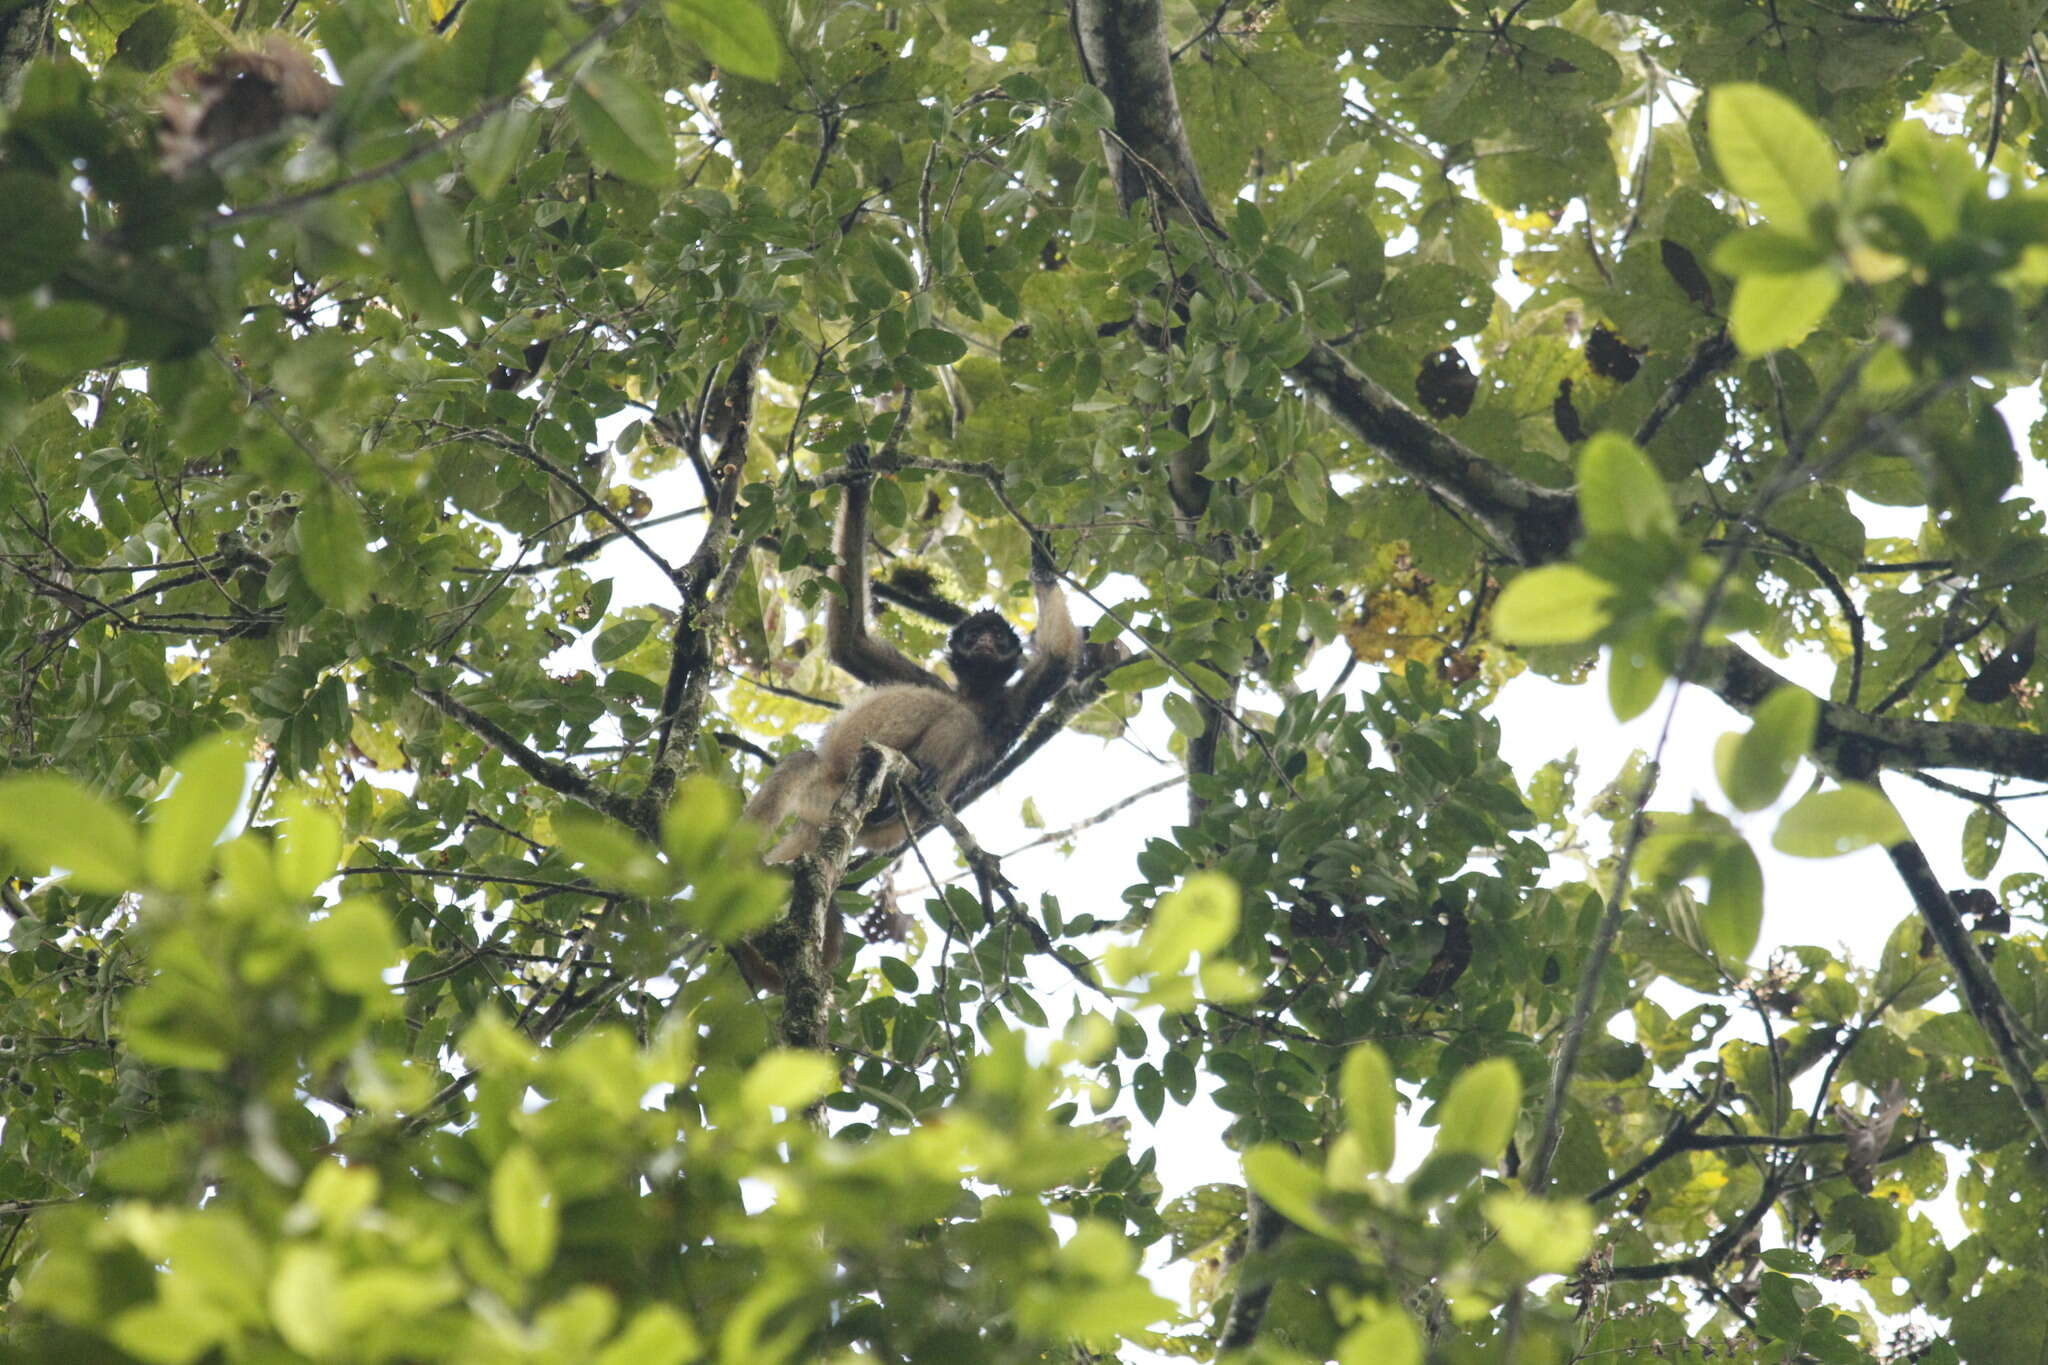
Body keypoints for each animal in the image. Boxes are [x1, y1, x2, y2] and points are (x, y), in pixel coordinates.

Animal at [737, 454, 1089, 986]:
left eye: (997, 638)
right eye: (975, 637)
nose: (986, 643)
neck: (975, 693)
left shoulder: (1009, 709)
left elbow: (1061, 659)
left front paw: (1043, 568)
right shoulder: (928, 678)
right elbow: (850, 643)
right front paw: (860, 481)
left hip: (872, 823)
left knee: (955, 726)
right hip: (828, 797)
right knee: (803, 765)